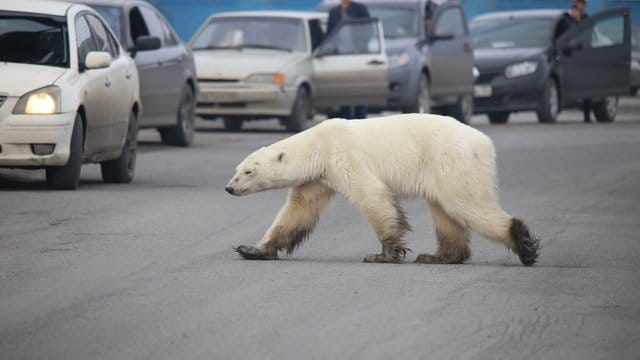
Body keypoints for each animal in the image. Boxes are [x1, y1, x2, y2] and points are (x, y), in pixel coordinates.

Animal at [225, 114, 540, 266]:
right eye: (236, 169)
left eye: (248, 171)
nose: (229, 188)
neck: (318, 144)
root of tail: (484, 142)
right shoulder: (318, 177)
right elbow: (298, 211)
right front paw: (251, 249)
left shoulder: (343, 155)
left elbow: (372, 196)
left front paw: (384, 254)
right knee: (445, 212)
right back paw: (438, 256)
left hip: (450, 159)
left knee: (465, 204)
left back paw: (524, 244)